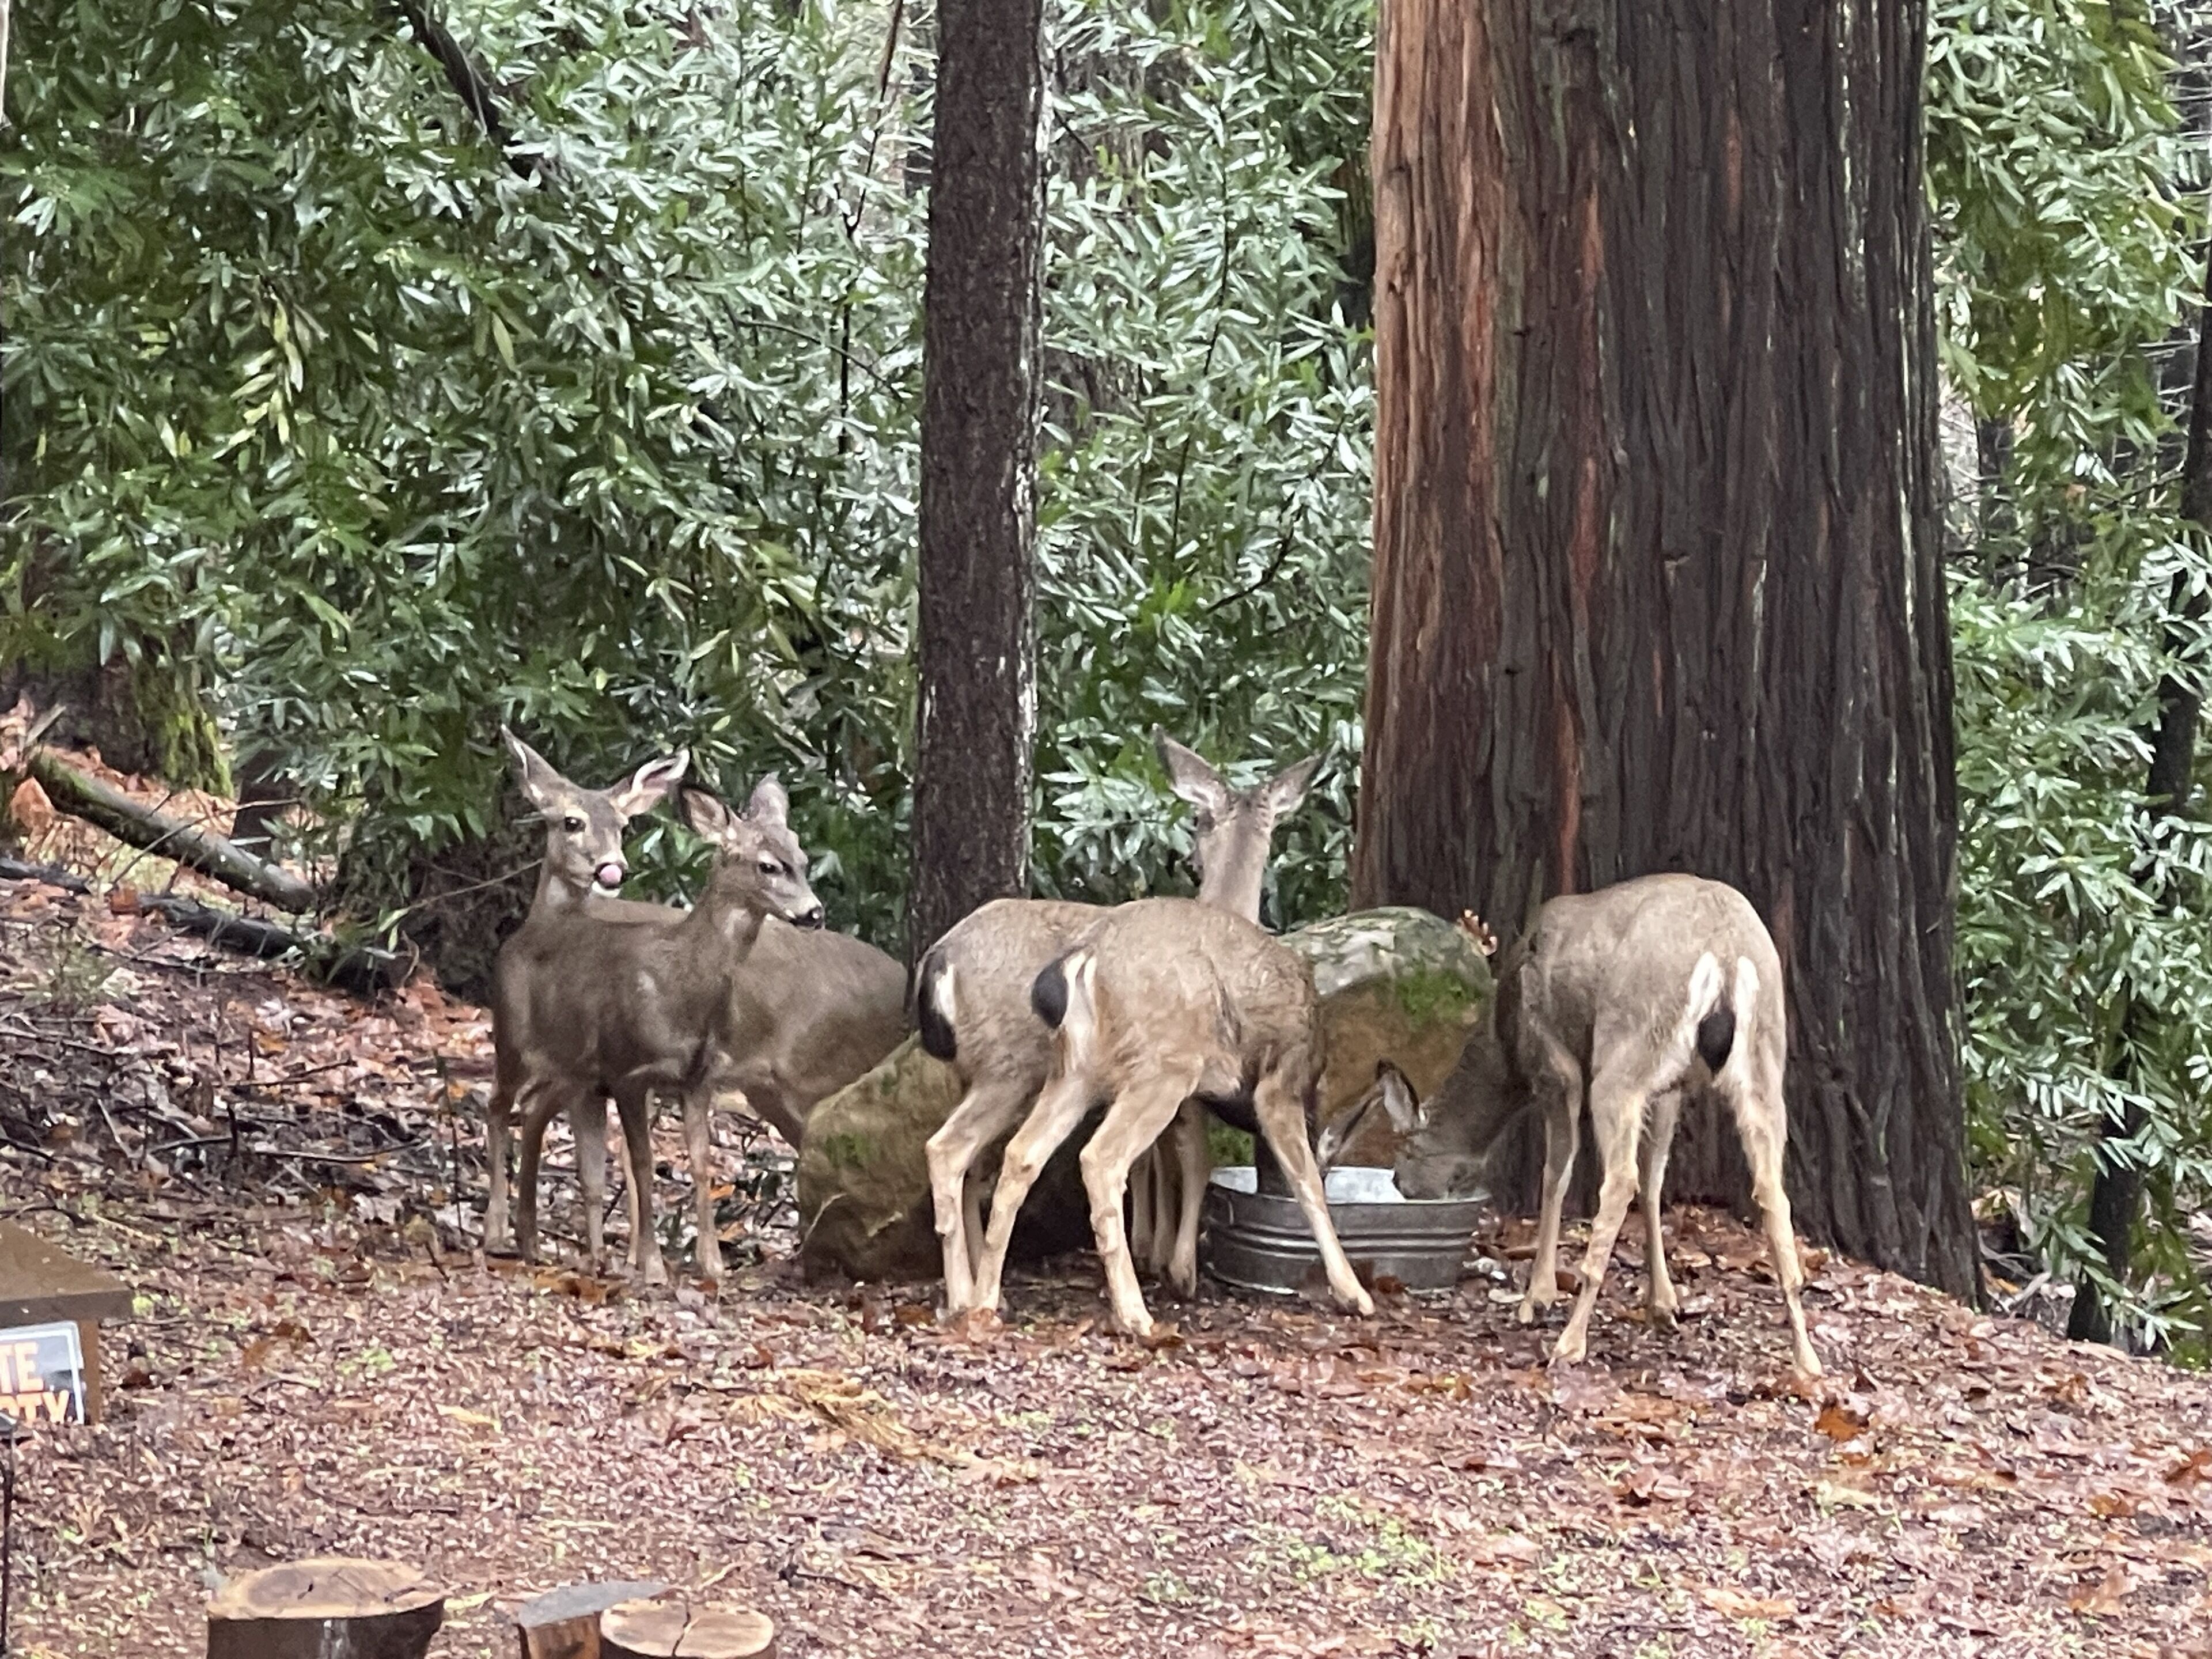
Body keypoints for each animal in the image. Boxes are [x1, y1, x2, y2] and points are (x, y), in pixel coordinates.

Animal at [509, 776, 827, 1285]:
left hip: (577, 1071)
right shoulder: (627, 1071)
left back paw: (545, 1241)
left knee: (536, 1109)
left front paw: (712, 1263)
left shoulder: (699, 1077)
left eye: (802, 859)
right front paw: (653, 1265)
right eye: (767, 865)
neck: (679, 986)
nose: (814, 913)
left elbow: (700, 1162)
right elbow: (643, 1164)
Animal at [915, 731, 1320, 1313]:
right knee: (955, 1153)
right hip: (1009, 1066)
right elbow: (1190, 1158)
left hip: (978, 1071)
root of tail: (940, 957)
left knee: (972, 1164)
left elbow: (1155, 1159)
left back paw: (976, 1289)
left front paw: (1151, 1248)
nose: (1187, 857)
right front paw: (1177, 1266)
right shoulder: (1186, 1077)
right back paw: (972, 1294)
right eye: (1197, 821)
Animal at [961, 898, 1374, 1337]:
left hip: (1075, 1073)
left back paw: (984, 1302)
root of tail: (1083, 960)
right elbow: (1306, 1180)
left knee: (1022, 1153)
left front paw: (1181, 1272)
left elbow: (1197, 1162)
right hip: (1162, 1069)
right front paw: (1353, 1293)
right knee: (1100, 1157)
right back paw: (1134, 1313)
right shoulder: (1279, 1083)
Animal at [1325, 873, 1821, 1378]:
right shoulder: (1670, 1090)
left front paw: (1537, 1297)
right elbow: (1655, 1179)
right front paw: (1663, 1304)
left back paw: (1570, 1339)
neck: (1506, 1048)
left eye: (1406, 1147)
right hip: (1763, 1062)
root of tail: (1723, 954)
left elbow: (1556, 1175)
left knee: (1618, 1181)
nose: (1400, 1183)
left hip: (1625, 1053)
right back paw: (1807, 1358)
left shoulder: (1555, 1068)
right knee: (1770, 1187)